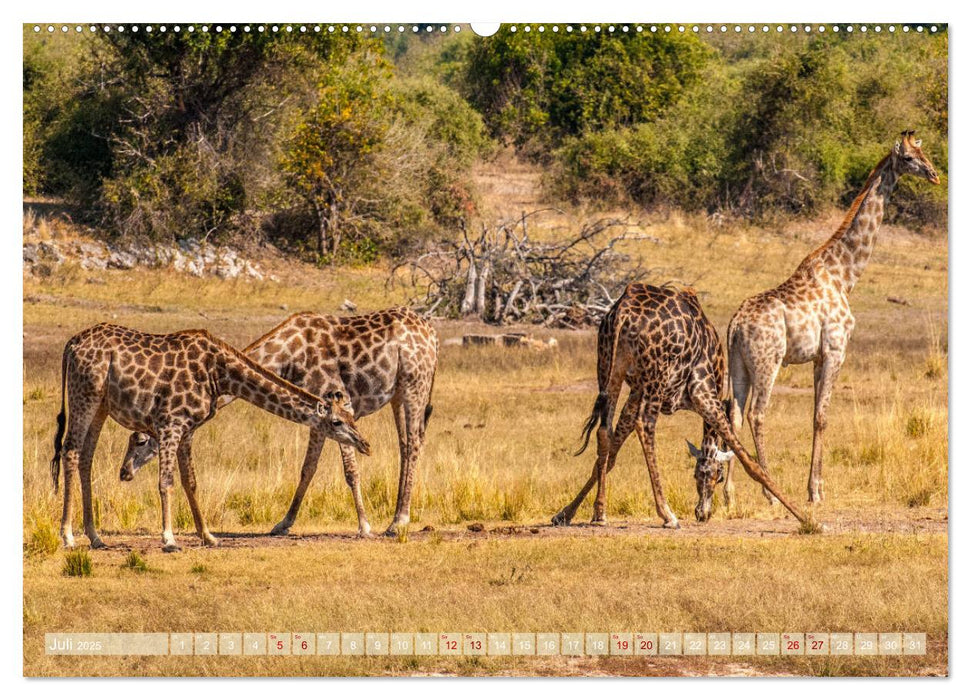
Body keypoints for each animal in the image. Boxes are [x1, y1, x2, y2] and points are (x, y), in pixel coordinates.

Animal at [49, 322, 370, 552]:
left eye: (353, 418)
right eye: (337, 422)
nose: (365, 444)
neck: (220, 373)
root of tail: (70, 344)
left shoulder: (187, 429)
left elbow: (191, 482)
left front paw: (208, 536)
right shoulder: (170, 423)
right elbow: (166, 482)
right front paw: (169, 539)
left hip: (101, 405)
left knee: (86, 457)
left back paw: (95, 537)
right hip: (84, 395)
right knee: (71, 450)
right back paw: (68, 537)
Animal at [118, 306, 440, 536]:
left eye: (141, 440)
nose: (124, 472)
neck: (287, 356)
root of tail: (433, 336)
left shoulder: (338, 401)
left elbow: (350, 470)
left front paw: (364, 525)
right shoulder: (319, 414)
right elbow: (307, 469)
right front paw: (283, 523)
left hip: (415, 384)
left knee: (413, 443)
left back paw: (398, 522)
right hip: (398, 393)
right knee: (406, 444)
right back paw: (397, 517)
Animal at [552, 282, 808, 528]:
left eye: (700, 475)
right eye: (718, 476)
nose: (702, 513)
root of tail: (623, 311)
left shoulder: (635, 391)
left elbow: (613, 451)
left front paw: (566, 513)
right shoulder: (702, 391)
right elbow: (746, 457)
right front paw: (803, 516)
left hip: (610, 367)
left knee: (604, 430)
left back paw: (600, 513)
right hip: (656, 376)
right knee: (645, 425)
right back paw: (667, 514)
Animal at [724, 130, 936, 504]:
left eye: (924, 153)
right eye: (909, 158)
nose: (935, 174)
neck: (845, 274)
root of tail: (735, 325)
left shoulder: (817, 357)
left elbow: (814, 415)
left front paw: (815, 487)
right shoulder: (837, 350)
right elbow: (823, 416)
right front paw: (815, 491)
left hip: (738, 364)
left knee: (734, 415)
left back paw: (729, 494)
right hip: (768, 361)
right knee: (757, 413)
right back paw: (770, 490)